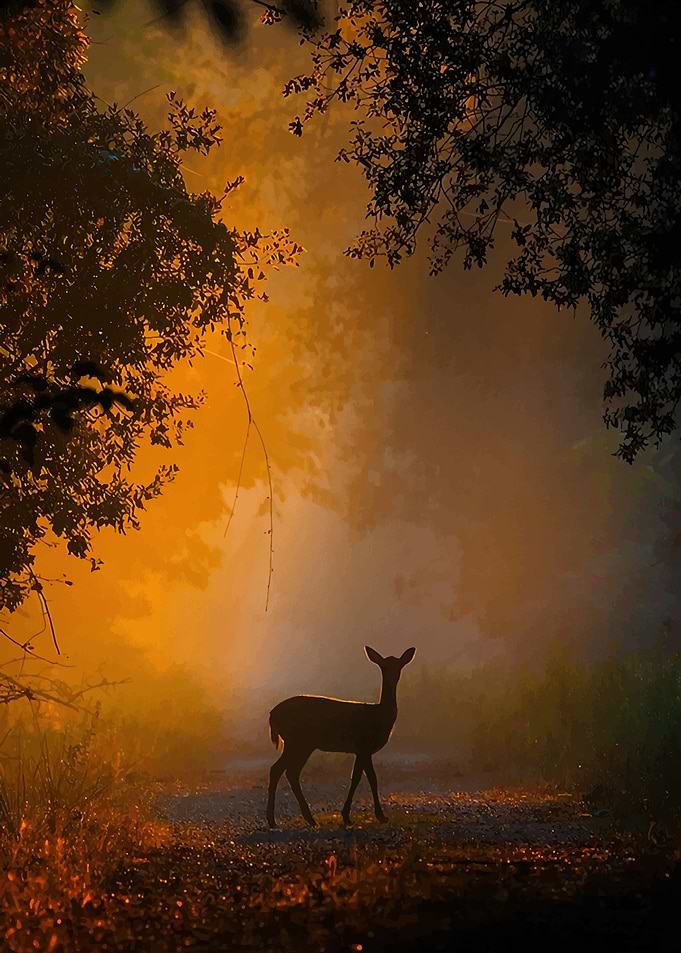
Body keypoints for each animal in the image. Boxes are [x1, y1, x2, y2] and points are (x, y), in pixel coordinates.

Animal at [266, 645, 416, 829]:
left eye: (399, 666)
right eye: (384, 666)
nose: (391, 678)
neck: (379, 716)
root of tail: (272, 714)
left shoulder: (360, 750)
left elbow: (358, 777)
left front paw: (348, 816)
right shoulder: (364, 745)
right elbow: (369, 779)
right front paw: (377, 816)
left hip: (299, 743)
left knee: (286, 771)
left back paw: (301, 819)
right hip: (298, 741)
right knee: (282, 770)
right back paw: (279, 820)